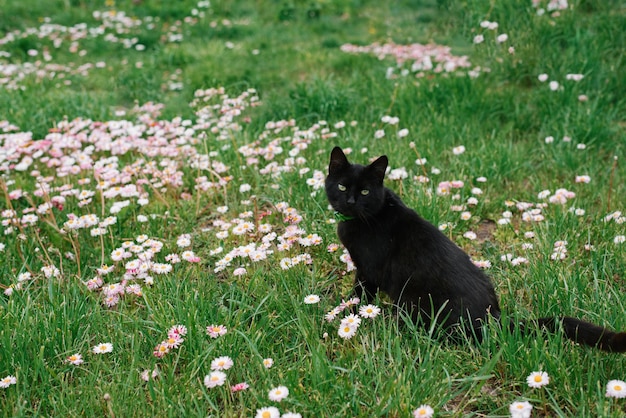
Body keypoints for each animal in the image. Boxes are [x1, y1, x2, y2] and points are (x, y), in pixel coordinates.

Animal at [324, 145, 624, 352]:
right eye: (342, 186)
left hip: (418, 304)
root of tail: (495, 319)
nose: (350, 201)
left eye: (365, 192)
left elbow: (359, 296)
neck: (364, 219)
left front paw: (349, 314)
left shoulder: (368, 271)